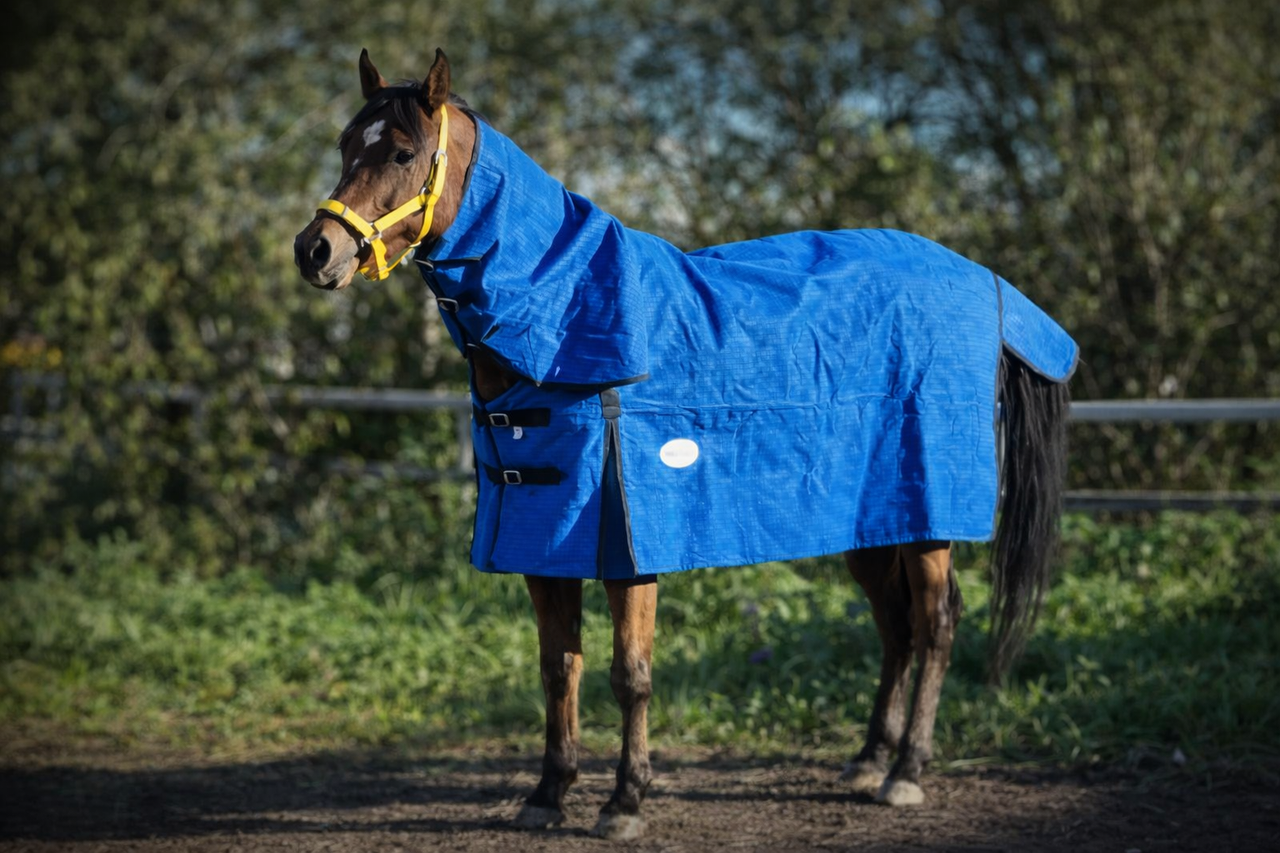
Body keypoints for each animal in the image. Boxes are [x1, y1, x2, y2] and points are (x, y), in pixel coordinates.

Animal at [294, 49, 1075, 841]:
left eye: (402, 153)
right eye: (345, 145)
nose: (314, 249)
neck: (562, 312)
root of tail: (982, 280)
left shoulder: (628, 547)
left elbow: (629, 675)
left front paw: (625, 800)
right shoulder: (539, 545)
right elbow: (558, 668)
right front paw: (549, 792)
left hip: (930, 519)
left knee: (937, 625)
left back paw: (907, 771)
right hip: (872, 522)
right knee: (897, 626)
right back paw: (866, 760)